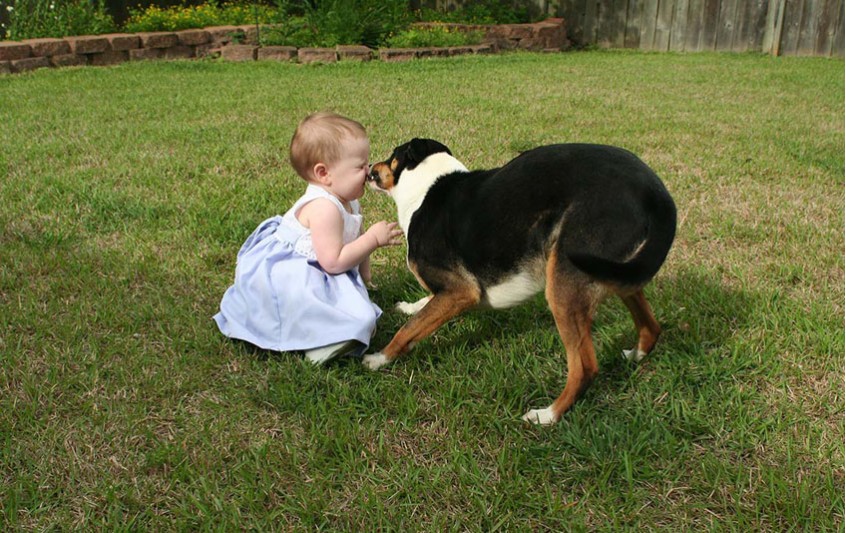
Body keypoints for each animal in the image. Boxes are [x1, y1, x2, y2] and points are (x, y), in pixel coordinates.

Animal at [362, 139, 676, 426]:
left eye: (392, 156)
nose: (369, 169)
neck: (425, 188)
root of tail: (656, 195)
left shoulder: (461, 291)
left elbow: (407, 330)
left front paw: (379, 358)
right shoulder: (450, 291)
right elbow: (424, 307)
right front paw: (410, 306)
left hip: (565, 282)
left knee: (585, 367)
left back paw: (546, 415)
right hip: (619, 273)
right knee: (651, 327)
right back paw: (635, 355)